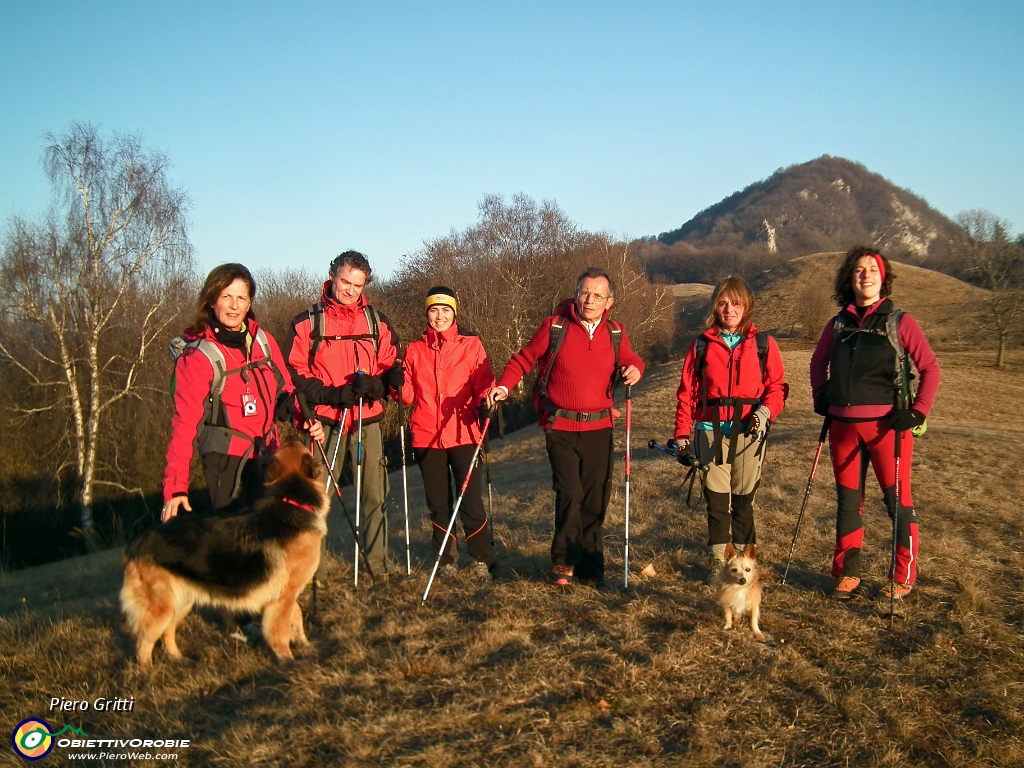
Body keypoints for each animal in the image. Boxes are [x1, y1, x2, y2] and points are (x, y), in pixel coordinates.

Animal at [119, 442, 327, 671]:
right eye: (297, 445)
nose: (291, 436)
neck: (291, 499)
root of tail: (135, 544)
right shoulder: (284, 596)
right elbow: (280, 630)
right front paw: (287, 660)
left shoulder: (286, 596)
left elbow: (296, 616)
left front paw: (304, 644)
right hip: (163, 608)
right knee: (143, 642)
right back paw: (147, 672)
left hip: (181, 602)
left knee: (166, 634)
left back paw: (180, 659)